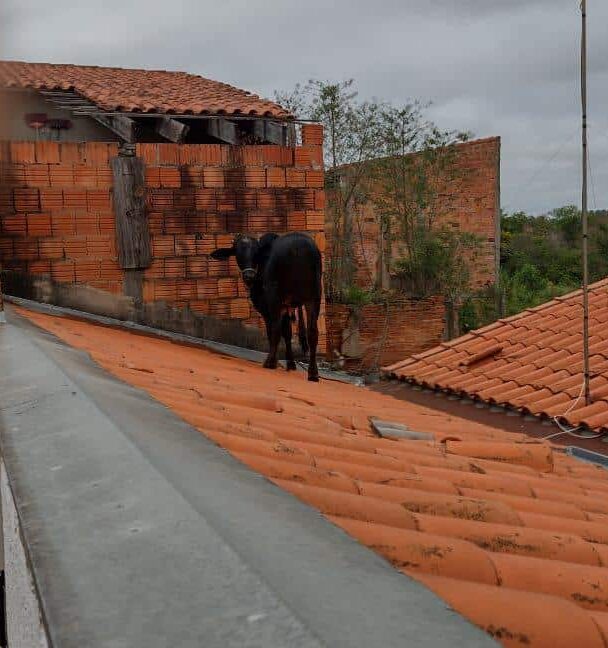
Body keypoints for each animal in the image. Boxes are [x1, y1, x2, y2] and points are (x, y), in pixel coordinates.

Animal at [210, 233, 324, 382]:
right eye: (238, 252)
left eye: (256, 253)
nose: (249, 275)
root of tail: (298, 246)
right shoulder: (286, 307)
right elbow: (287, 333)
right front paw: (291, 364)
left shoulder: (267, 306)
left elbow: (272, 332)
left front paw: (277, 360)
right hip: (314, 297)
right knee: (312, 332)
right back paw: (313, 373)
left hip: (275, 296)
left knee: (275, 329)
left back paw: (269, 362)